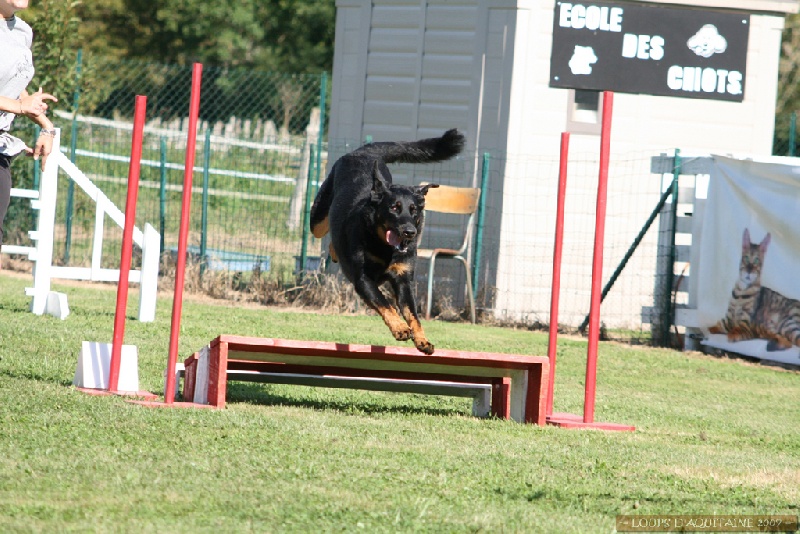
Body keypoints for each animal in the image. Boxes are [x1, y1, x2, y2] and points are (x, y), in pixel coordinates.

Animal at [310, 130, 466, 356]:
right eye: (394, 207)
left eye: (414, 211)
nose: (409, 232)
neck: (385, 248)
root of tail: (364, 153)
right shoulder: (363, 279)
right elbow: (385, 303)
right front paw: (400, 328)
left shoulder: (403, 280)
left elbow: (413, 315)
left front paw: (422, 339)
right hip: (318, 218)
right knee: (326, 230)